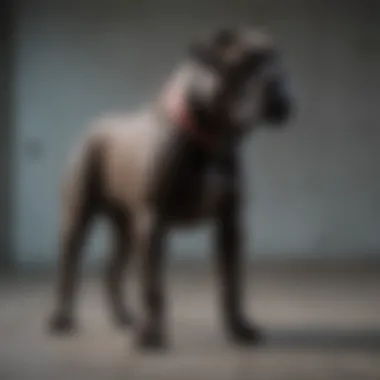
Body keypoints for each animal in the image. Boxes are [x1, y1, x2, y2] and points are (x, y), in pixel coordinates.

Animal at [49, 26, 292, 350]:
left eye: (278, 60)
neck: (210, 135)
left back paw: (124, 317)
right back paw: (62, 319)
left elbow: (232, 282)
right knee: (69, 265)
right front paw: (152, 333)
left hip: (127, 228)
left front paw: (239, 328)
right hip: (80, 216)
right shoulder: (153, 222)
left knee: (112, 269)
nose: (279, 83)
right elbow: (153, 286)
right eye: (245, 62)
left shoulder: (230, 225)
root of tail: (93, 127)